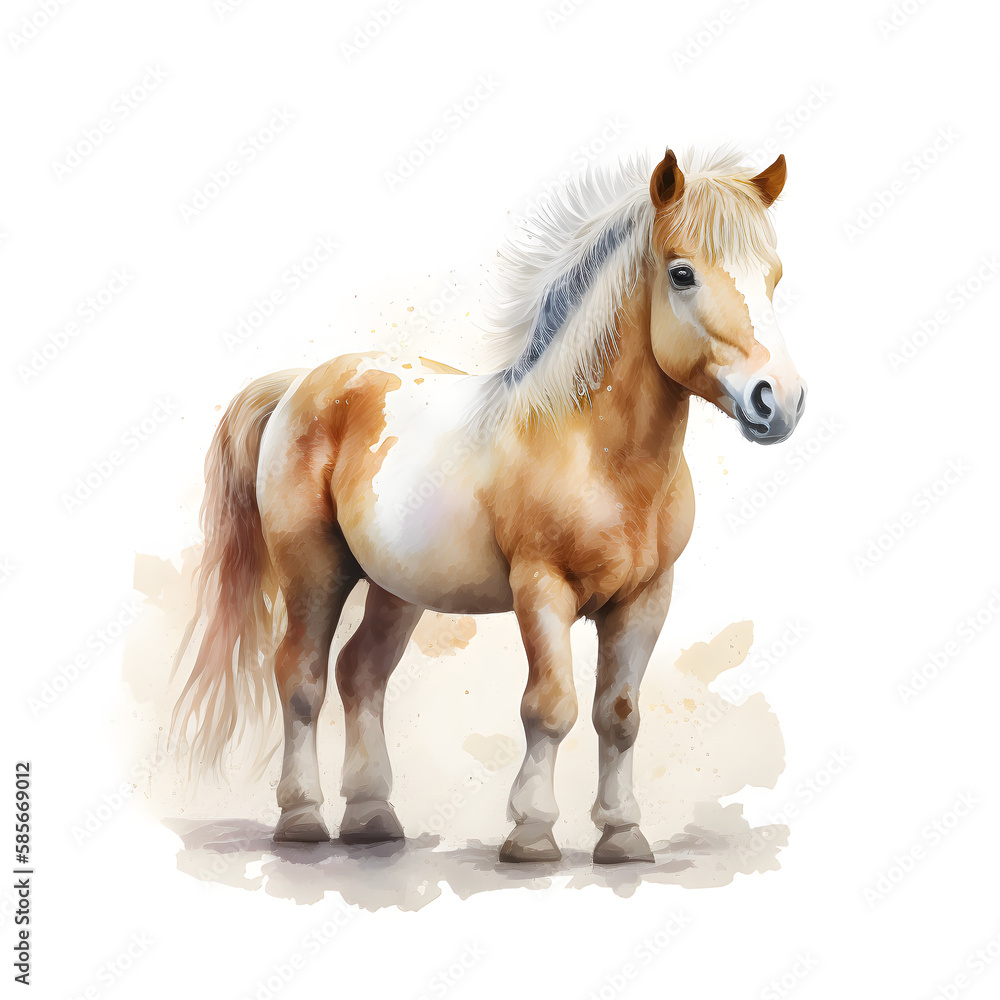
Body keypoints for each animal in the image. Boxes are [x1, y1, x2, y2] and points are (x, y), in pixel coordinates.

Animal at [172, 146, 806, 865]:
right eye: (681, 273)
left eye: (774, 276)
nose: (777, 400)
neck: (590, 446)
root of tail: (300, 383)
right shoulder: (541, 588)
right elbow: (550, 707)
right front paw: (531, 833)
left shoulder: (646, 598)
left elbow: (618, 716)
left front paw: (623, 834)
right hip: (314, 571)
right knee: (300, 678)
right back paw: (302, 819)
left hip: (397, 589)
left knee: (361, 674)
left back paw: (372, 817)